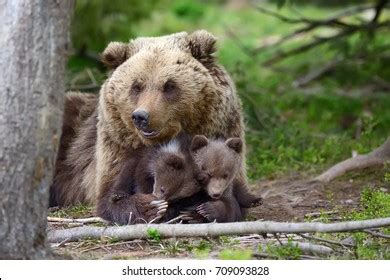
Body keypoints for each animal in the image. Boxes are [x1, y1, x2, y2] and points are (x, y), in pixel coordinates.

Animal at [49, 30, 258, 223]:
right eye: (136, 86)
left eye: (169, 85)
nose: (141, 116)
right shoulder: (116, 146)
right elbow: (110, 195)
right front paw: (147, 206)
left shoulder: (222, 133)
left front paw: (203, 209)